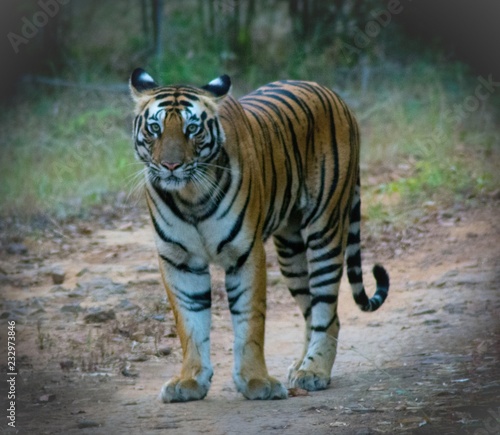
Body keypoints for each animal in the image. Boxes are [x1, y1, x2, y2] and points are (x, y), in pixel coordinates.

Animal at [130, 66, 390, 404]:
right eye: (154, 128)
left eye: (192, 129)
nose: (171, 165)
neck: (190, 197)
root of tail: (333, 94)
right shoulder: (179, 260)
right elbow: (189, 323)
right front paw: (189, 381)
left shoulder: (246, 253)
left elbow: (250, 321)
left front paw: (256, 382)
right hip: (291, 250)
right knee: (310, 309)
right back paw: (301, 364)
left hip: (325, 229)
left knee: (326, 311)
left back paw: (314, 371)